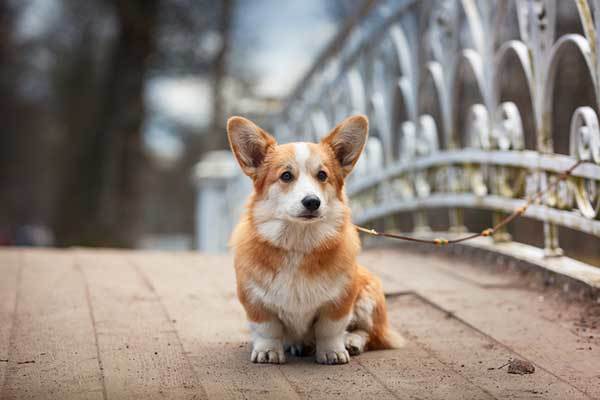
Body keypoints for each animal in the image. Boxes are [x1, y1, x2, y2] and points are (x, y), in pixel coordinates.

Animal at [227, 114, 406, 364]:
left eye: (322, 175)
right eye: (286, 176)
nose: (312, 202)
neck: (298, 242)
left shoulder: (340, 301)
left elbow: (329, 329)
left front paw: (332, 351)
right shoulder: (255, 300)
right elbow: (267, 329)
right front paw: (268, 351)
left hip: (369, 293)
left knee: (371, 334)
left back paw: (351, 341)